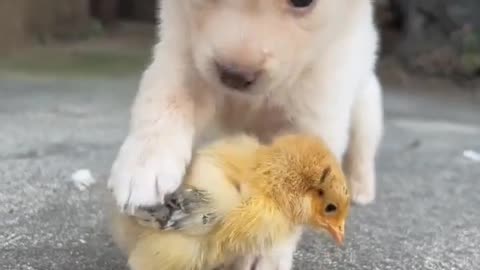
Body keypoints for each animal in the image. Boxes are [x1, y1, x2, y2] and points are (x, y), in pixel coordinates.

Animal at [108, 1, 382, 268]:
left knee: (362, 148)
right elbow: (164, 100)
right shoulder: (183, 57)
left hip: (366, 104)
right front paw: (143, 166)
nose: (235, 76)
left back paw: (361, 188)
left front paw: (266, 249)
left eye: (302, 2)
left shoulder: (317, 107)